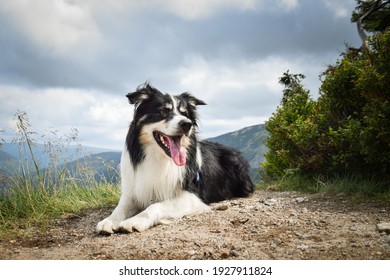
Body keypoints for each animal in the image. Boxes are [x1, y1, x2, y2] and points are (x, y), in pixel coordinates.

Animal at [96, 83, 254, 234]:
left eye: (185, 114)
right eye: (164, 111)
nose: (187, 124)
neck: (159, 159)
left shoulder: (192, 196)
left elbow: (155, 206)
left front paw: (134, 221)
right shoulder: (133, 190)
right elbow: (120, 207)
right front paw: (109, 221)